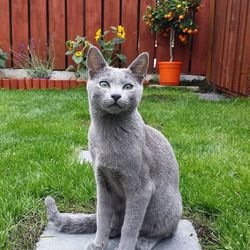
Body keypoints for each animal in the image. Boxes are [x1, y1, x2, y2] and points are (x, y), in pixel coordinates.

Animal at [45, 47, 182, 250]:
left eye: (128, 87)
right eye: (104, 84)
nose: (116, 96)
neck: (109, 133)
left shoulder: (140, 189)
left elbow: (131, 226)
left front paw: (125, 247)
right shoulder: (102, 182)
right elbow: (102, 217)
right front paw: (98, 244)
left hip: (166, 206)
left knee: (164, 232)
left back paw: (144, 241)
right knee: (114, 222)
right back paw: (112, 232)